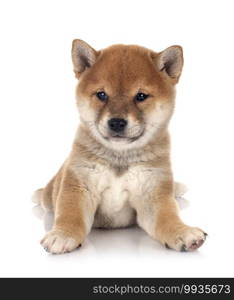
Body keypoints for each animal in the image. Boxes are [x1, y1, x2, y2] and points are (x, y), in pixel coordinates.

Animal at [33, 39, 207, 253]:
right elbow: (70, 215)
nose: (116, 122)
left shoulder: (153, 193)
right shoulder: (79, 187)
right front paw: (63, 234)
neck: (120, 156)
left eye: (141, 96)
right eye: (101, 94)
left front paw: (183, 232)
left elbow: (168, 218)